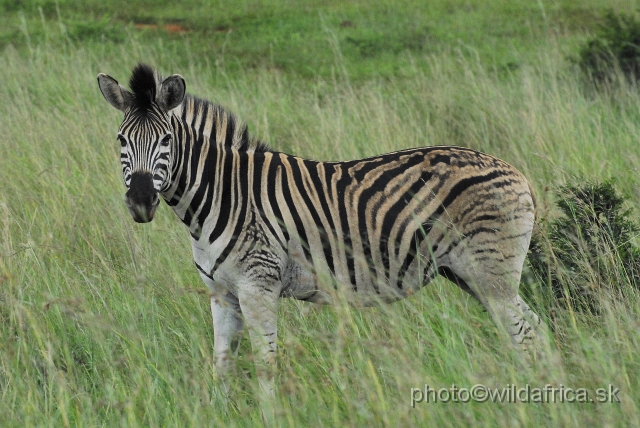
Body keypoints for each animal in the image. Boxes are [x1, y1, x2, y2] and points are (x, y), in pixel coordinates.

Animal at [96, 62, 544, 398]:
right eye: (120, 139)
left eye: (166, 140)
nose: (140, 201)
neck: (220, 194)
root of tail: (517, 172)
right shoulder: (221, 294)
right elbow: (222, 366)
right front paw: (220, 412)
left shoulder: (258, 287)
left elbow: (266, 367)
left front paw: (269, 415)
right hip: (471, 276)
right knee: (531, 329)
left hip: (490, 275)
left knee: (524, 335)